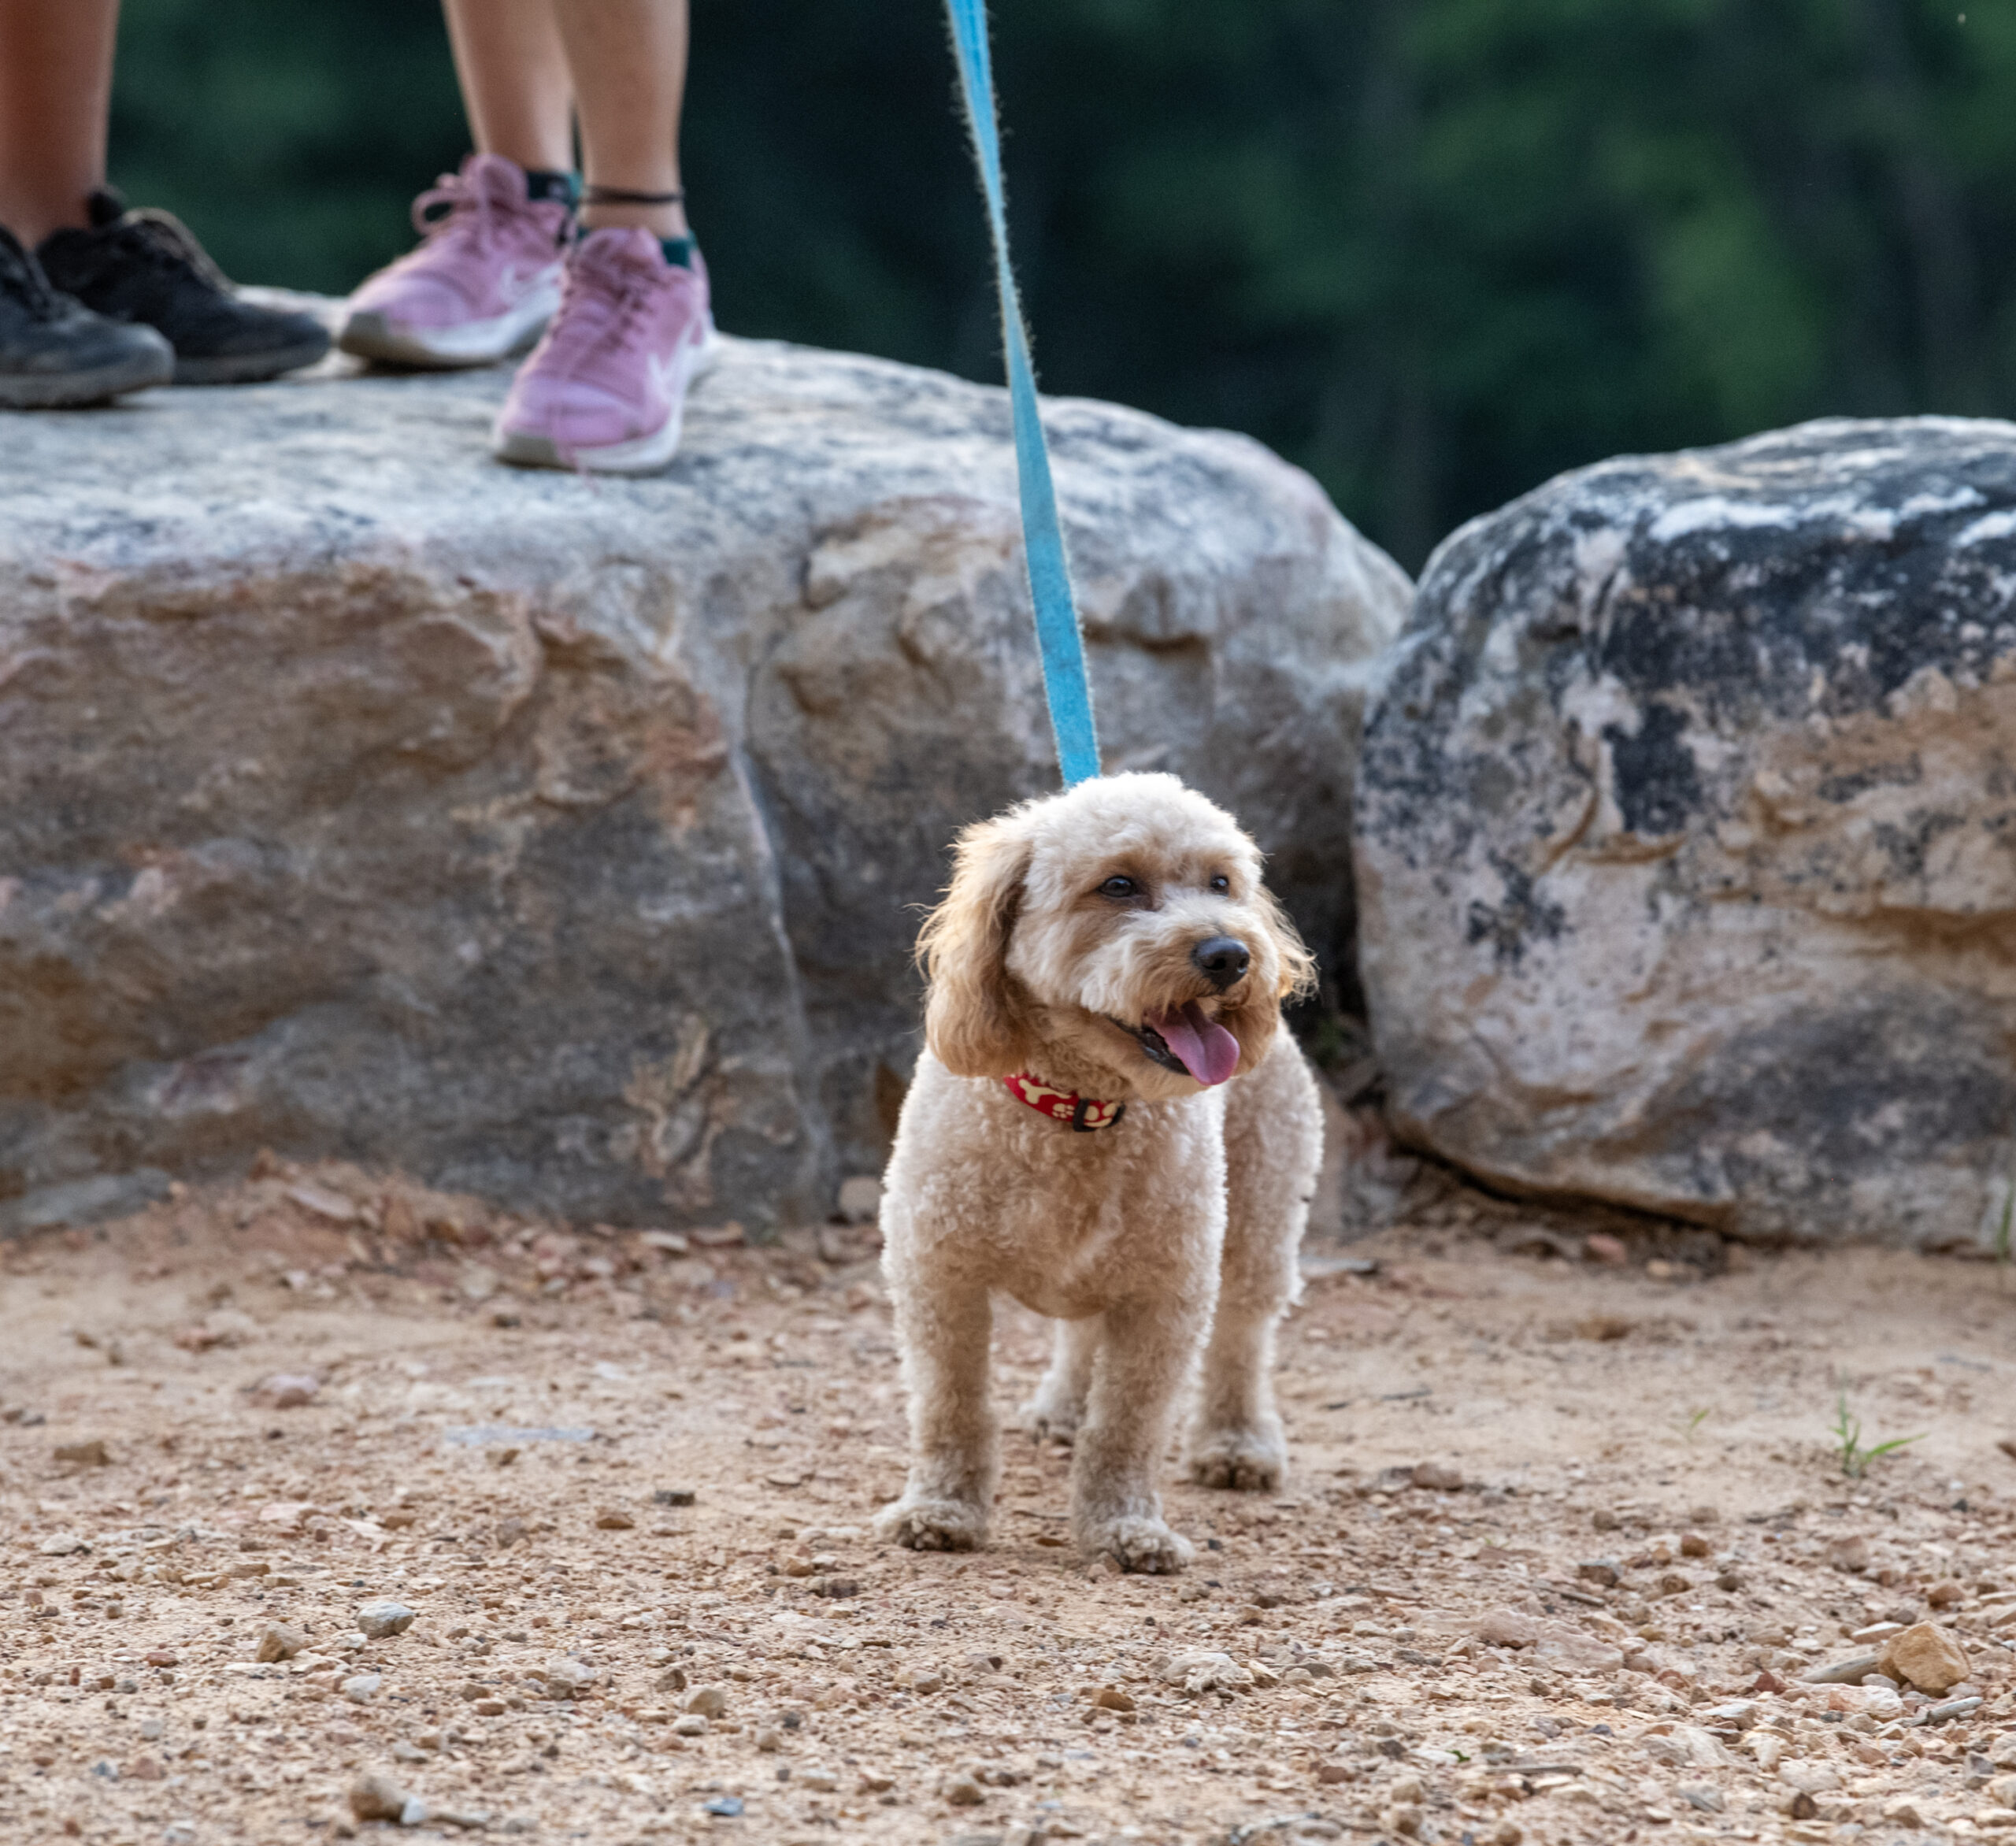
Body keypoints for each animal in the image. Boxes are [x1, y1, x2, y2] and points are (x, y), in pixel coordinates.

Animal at [879, 769, 1322, 1571]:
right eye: (1118, 885)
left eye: (1221, 882)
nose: (1230, 954)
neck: (1079, 1111)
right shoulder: (938, 1277)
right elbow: (951, 1406)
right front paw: (940, 1511)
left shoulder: (1166, 1294)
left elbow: (1128, 1423)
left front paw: (1125, 1529)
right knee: (1083, 1330)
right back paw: (1063, 1408)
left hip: (1260, 1222)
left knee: (1243, 1337)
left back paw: (1236, 1444)